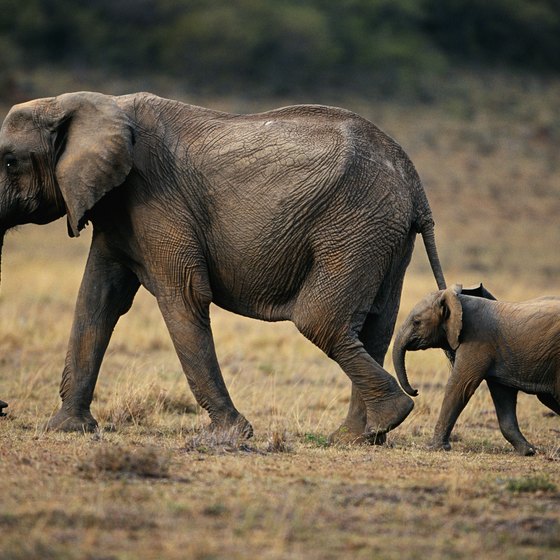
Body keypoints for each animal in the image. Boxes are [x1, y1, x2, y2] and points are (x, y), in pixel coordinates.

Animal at [0, 92, 446, 442]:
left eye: (8, 163)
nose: (4, 408)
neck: (86, 103)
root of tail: (415, 183)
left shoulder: (154, 197)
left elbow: (183, 296)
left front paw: (230, 435)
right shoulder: (116, 211)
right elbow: (97, 300)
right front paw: (66, 429)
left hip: (355, 224)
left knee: (320, 321)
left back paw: (385, 418)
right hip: (384, 236)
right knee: (374, 327)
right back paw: (359, 436)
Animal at [394, 284, 560, 456]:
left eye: (416, 322)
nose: (416, 391)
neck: (457, 301)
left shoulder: (476, 342)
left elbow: (459, 386)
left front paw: (435, 448)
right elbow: (503, 396)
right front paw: (528, 451)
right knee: (547, 398)